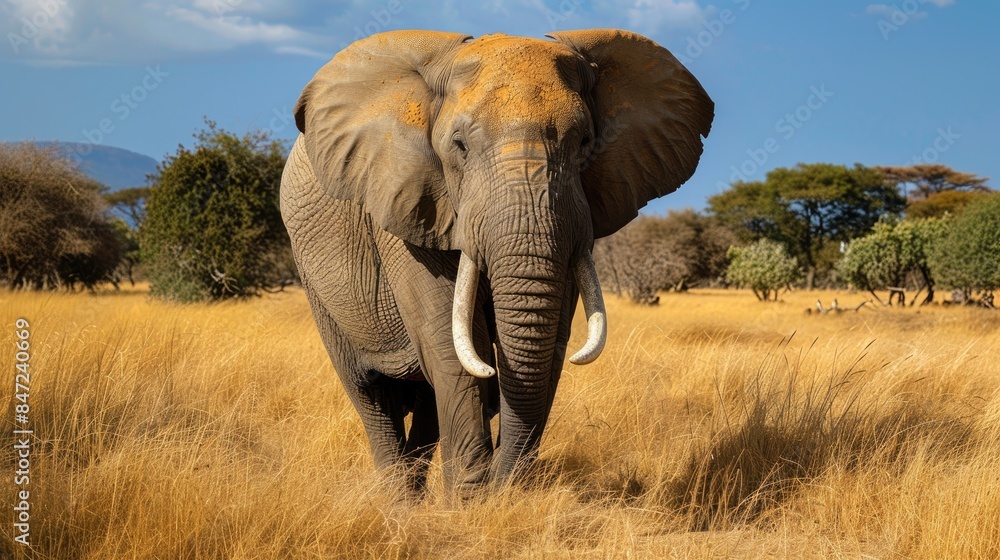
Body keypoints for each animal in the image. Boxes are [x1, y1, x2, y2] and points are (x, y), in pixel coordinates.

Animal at [280, 28, 713, 495]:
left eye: (584, 142)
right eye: (459, 146)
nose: (503, 487)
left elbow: (551, 344)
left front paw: (501, 493)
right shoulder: (404, 200)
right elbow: (450, 342)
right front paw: (469, 501)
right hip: (318, 287)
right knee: (372, 397)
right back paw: (401, 503)